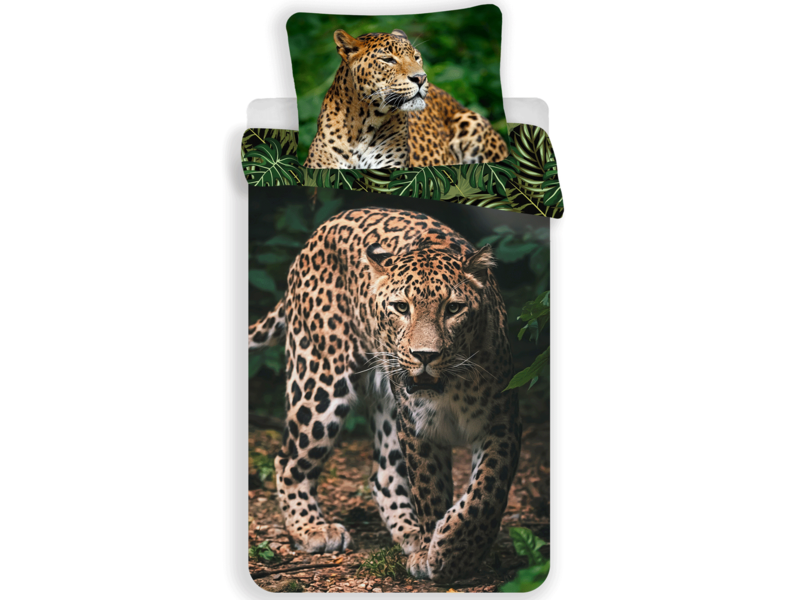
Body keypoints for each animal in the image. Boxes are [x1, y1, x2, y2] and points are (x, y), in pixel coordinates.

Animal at [249, 207, 522, 582]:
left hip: (386, 406)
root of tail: (319, 231)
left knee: (384, 475)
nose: (425, 355)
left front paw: (454, 550)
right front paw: (437, 552)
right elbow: (430, 490)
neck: (449, 388)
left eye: (453, 309)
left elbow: (486, 491)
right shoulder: (418, 429)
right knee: (288, 459)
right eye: (401, 307)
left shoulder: (501, 422)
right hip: (319, 381)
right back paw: (312, 529)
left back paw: (409, 534)